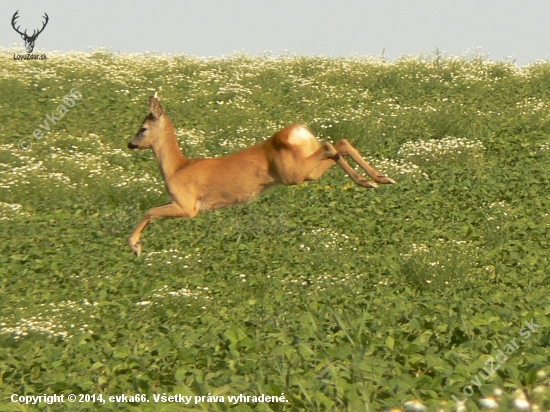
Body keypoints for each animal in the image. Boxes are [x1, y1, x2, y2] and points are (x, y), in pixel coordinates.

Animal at [128, 97, 396, 258]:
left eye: (143, 128)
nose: (130, 144)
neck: (177, 168)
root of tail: (300, 131)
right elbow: (151, 212)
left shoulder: (187, 206)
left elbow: (149, 211)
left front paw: (135, 246)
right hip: (307, 171)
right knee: (340, 143)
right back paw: (377, 179)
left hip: (293, 173)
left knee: (331, 146)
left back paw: (372, 180)